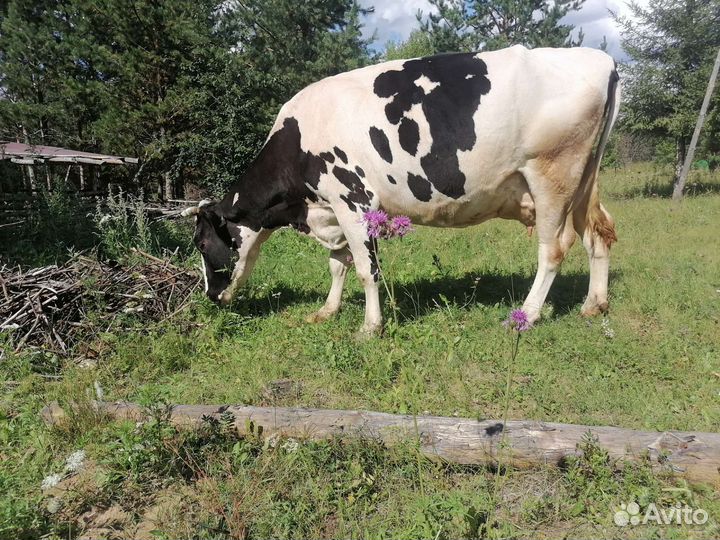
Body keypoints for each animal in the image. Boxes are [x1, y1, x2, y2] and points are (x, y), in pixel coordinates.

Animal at [182, 45, 620, 336]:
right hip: (584, 181)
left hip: (552, 176)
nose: (209, 296)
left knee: (553, 249)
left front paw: (370, 327)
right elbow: (337, 263)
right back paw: (593, 305)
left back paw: (527, 315)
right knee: (597, 235)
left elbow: (365, 268)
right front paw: (326, 311)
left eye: (202, 244)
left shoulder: (353, 199)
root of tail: (600, 58)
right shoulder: (333, 210)